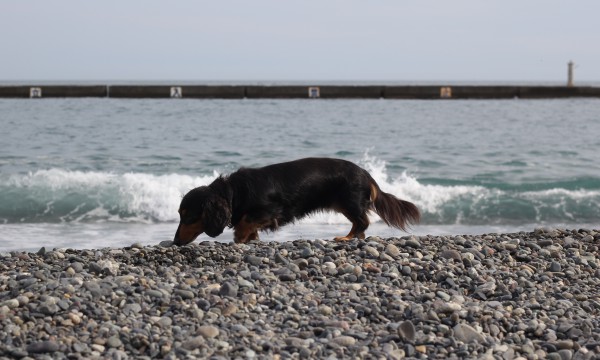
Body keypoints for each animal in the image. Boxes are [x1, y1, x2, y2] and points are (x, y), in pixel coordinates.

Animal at [171, 158, 420, 246]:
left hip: (349, 202)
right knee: (361, 224)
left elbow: (244, 222)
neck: (235, 192)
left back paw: (346, 237)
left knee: (363, 222)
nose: (174, 242)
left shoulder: (271, 209)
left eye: (188, 216)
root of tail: (367, 174)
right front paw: (251, 239)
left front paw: (240, 238)